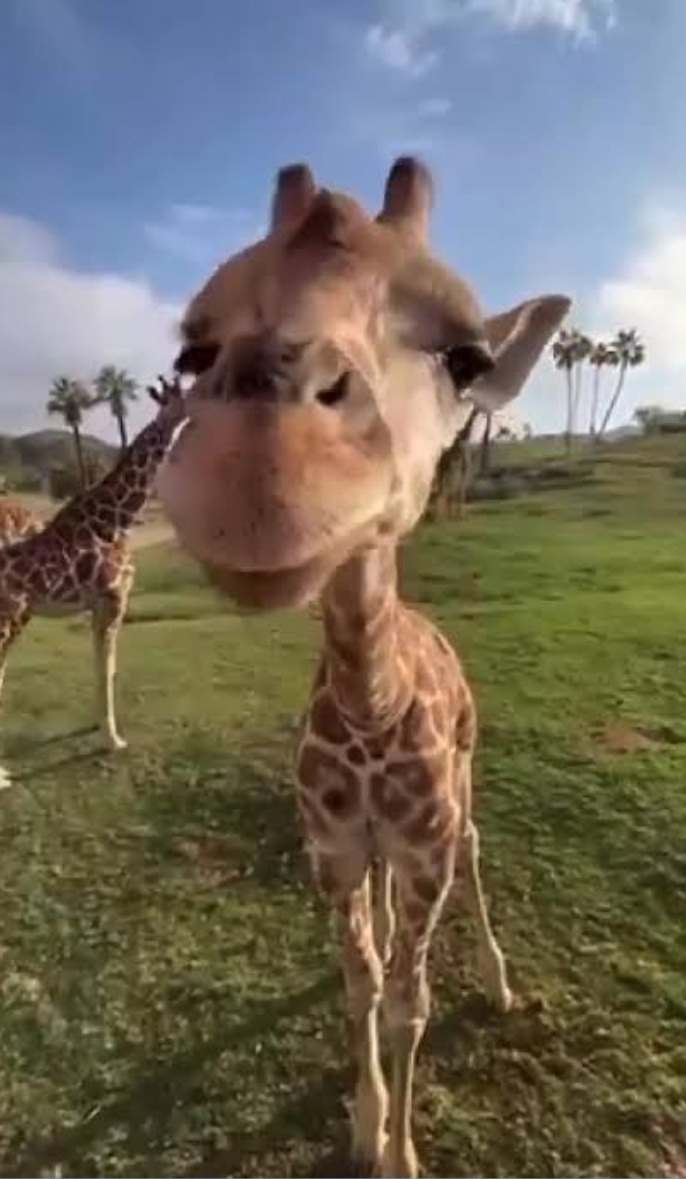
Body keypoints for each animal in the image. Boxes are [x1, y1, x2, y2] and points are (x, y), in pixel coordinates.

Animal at [0, 377, 186, 752]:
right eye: (179, 396)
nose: (191, 411)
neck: (118, 518)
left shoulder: (97, 605)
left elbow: (103, 666)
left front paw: (99, 727)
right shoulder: (114, 599)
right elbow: (107, 667)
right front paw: (114, 739)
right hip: (6, 617)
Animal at [157, 157, 571, 1177]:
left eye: (467, 355)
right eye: (192, 351)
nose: (262, 476)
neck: (372, 706)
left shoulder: (422, 847)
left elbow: (410, 1002)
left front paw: (402, 1151)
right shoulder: (337, 851)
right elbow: (361, 981)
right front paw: (362, 1123)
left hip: (466, 782)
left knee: (477, 850)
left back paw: (499, 981)